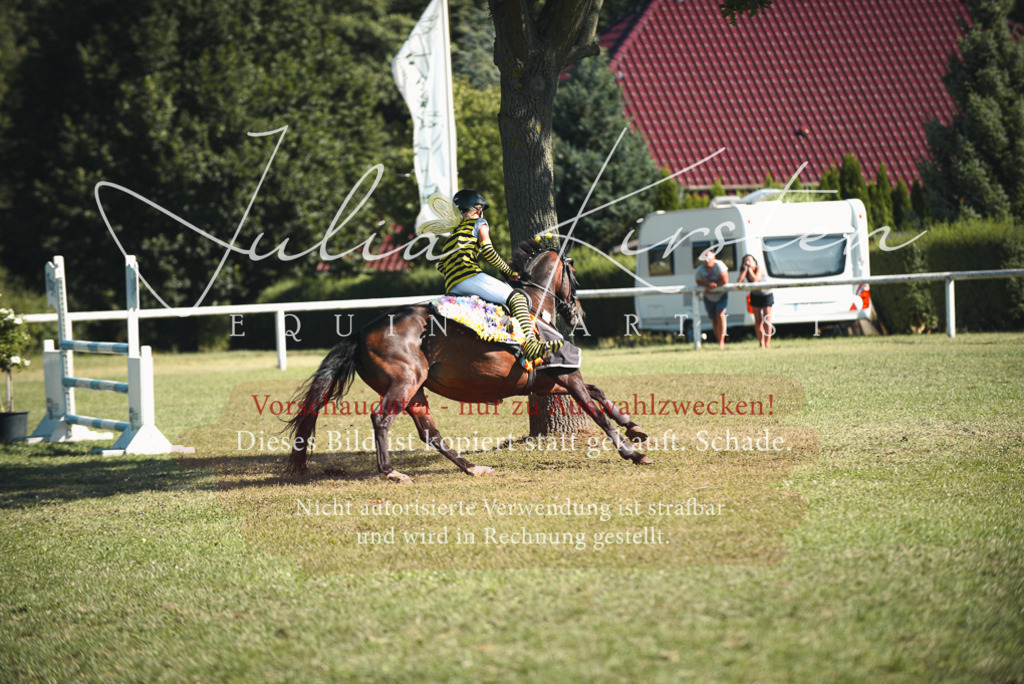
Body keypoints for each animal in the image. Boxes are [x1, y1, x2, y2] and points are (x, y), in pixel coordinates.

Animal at [285, 239, 651, 483]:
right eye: (574, 274)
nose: (579, 314)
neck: (534, 308)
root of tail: (360, 332)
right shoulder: (565, 375)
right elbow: (595, 409)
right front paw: (631, 453)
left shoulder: (549, 380)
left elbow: (599, 392)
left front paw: (633, 427)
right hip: (404, 384)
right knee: (381, 420)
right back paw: (391, 472)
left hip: (417, 390)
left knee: (429, 432)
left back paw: (472, 467)